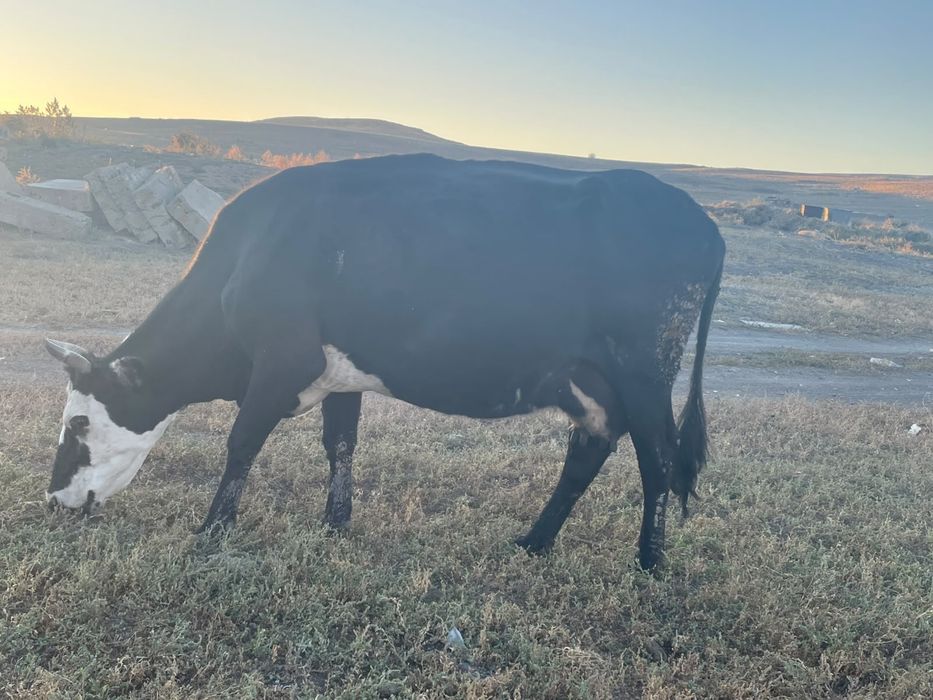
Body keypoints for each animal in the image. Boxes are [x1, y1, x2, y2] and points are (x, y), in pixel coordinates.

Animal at [44, 154, 724, 570]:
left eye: (78, 423)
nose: (52, 501)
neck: (246, 258)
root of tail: (701, 221)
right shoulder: (340, 373)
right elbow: (340, 444)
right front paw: (335, 525)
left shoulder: (280, 361)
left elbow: (240, 444)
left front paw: (212, 531)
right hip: (586, 379)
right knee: (589, 448)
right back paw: (532, 542)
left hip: (644, 369)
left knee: (659, 459)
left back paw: (648, 562)